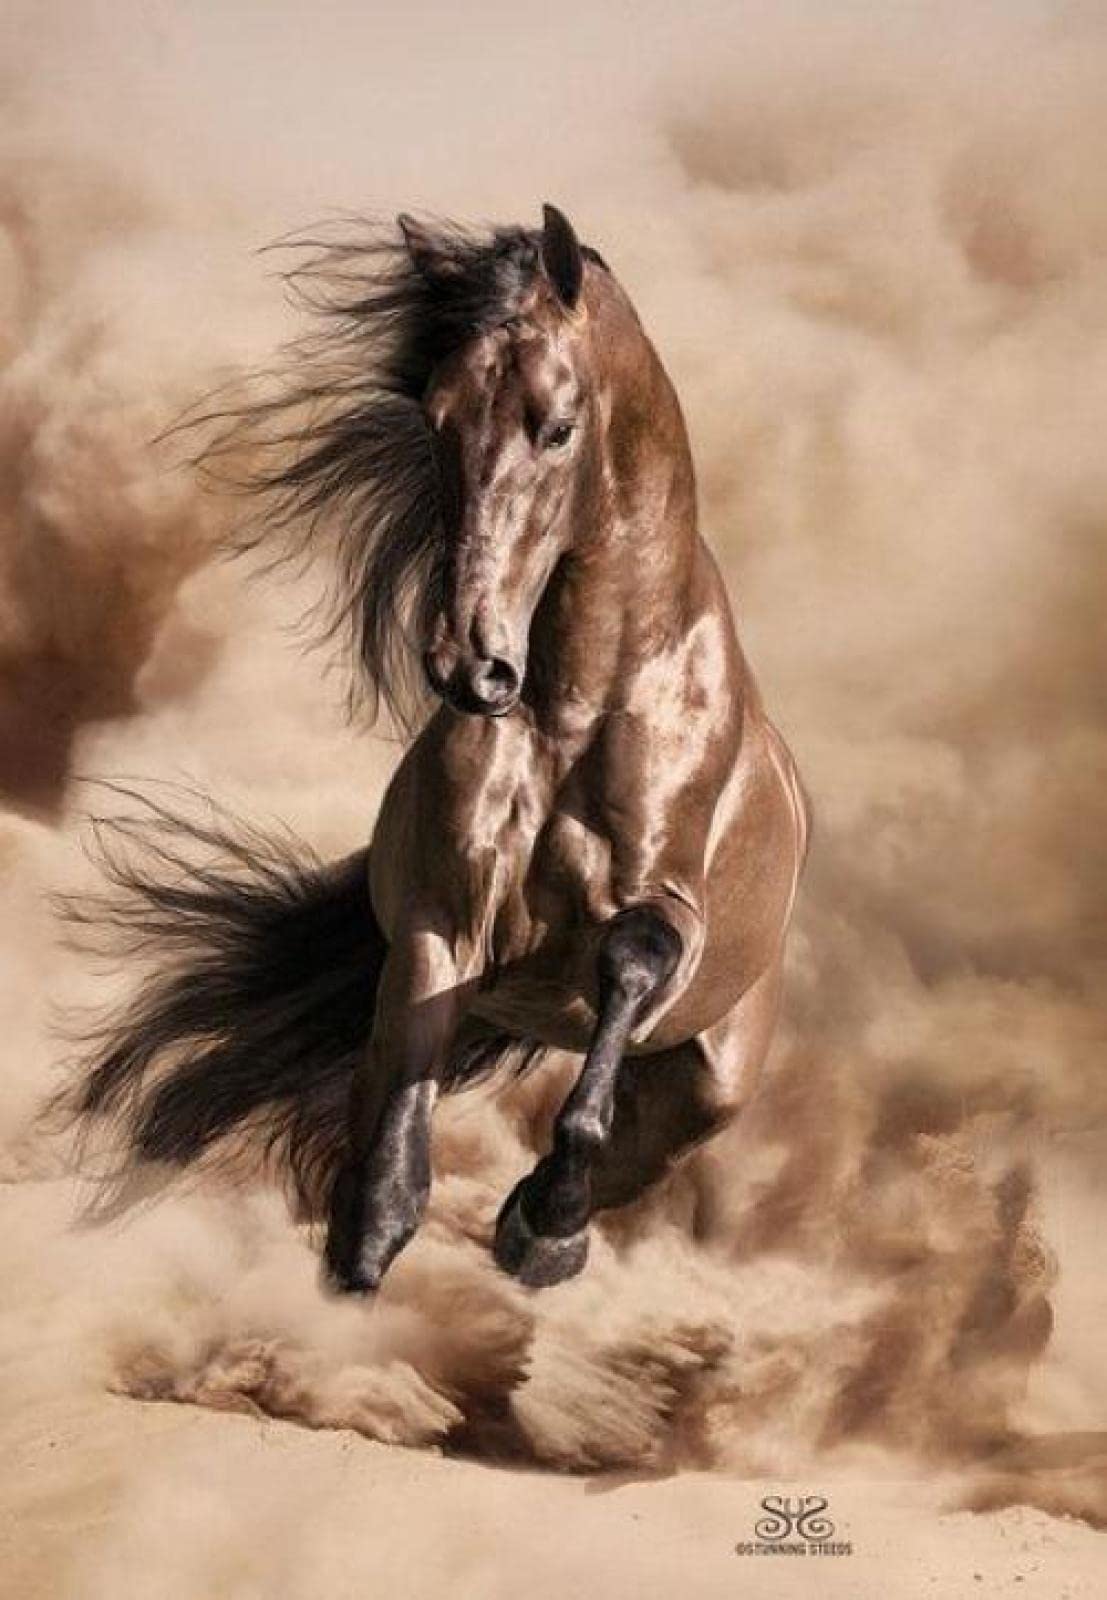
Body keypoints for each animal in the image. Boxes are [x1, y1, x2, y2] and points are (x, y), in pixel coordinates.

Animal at [66, 204, 810, 1293]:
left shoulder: (669, 906)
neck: (584, 702)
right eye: (436, 416)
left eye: (556, 426)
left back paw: (547, 1216)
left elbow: (629, 959)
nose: (472, 664)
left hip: (705, 1084)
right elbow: (390, 1160)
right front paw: (371, 1240)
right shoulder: (443, 915)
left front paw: (546, 1225)